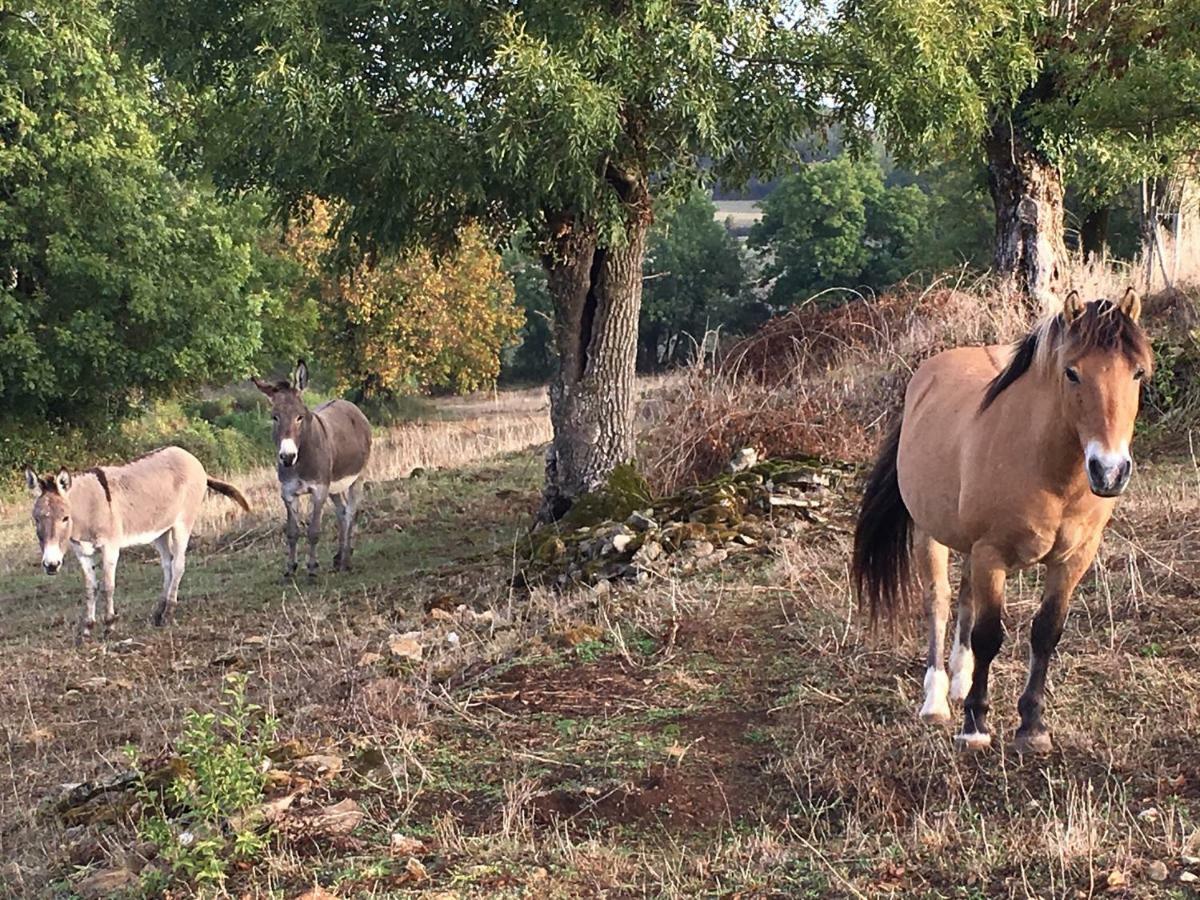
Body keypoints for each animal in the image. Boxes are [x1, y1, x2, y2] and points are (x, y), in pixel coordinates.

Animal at [854, 289, 1152, 753]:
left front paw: (1032, 726)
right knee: (939, 601)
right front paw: (975, 724)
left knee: (963, 598)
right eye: (1072, 372)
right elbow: (989, 635)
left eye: (1138, 372)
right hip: (930, 535)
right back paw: (937, 700)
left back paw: (960, 681)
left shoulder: (1073, 560)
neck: (1048, 472)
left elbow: (1045, 633)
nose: (1109, 471)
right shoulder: (991, 554)